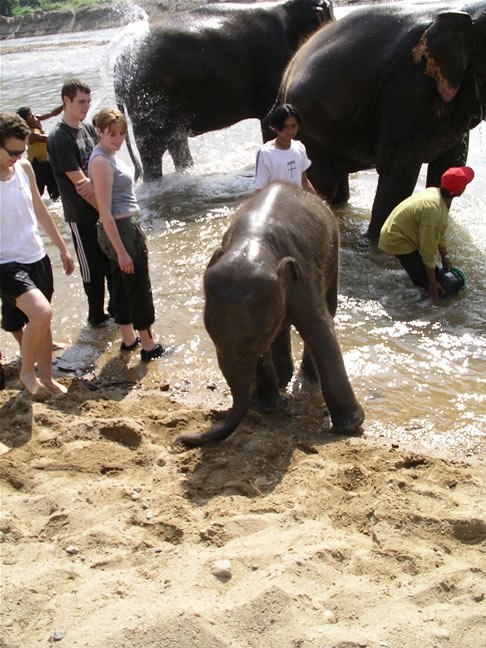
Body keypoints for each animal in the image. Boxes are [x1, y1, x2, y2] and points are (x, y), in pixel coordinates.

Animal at [114, 0, 334, 180]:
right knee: (154, 151)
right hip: (147, 97)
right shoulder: (274, 70)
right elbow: (269, 120)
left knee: (176, 144)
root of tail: (120, 62)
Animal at [175, 183, 365, 447]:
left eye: (256, 336)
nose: (181, 439)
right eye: (211, 336)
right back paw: (284, 378)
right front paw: (266, 406)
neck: (253, 243)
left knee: (329, 308)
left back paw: (308, 380)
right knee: (283, 325)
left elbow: (319, 328)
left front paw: (351, 426)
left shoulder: (302, 273)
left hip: (333, 252)